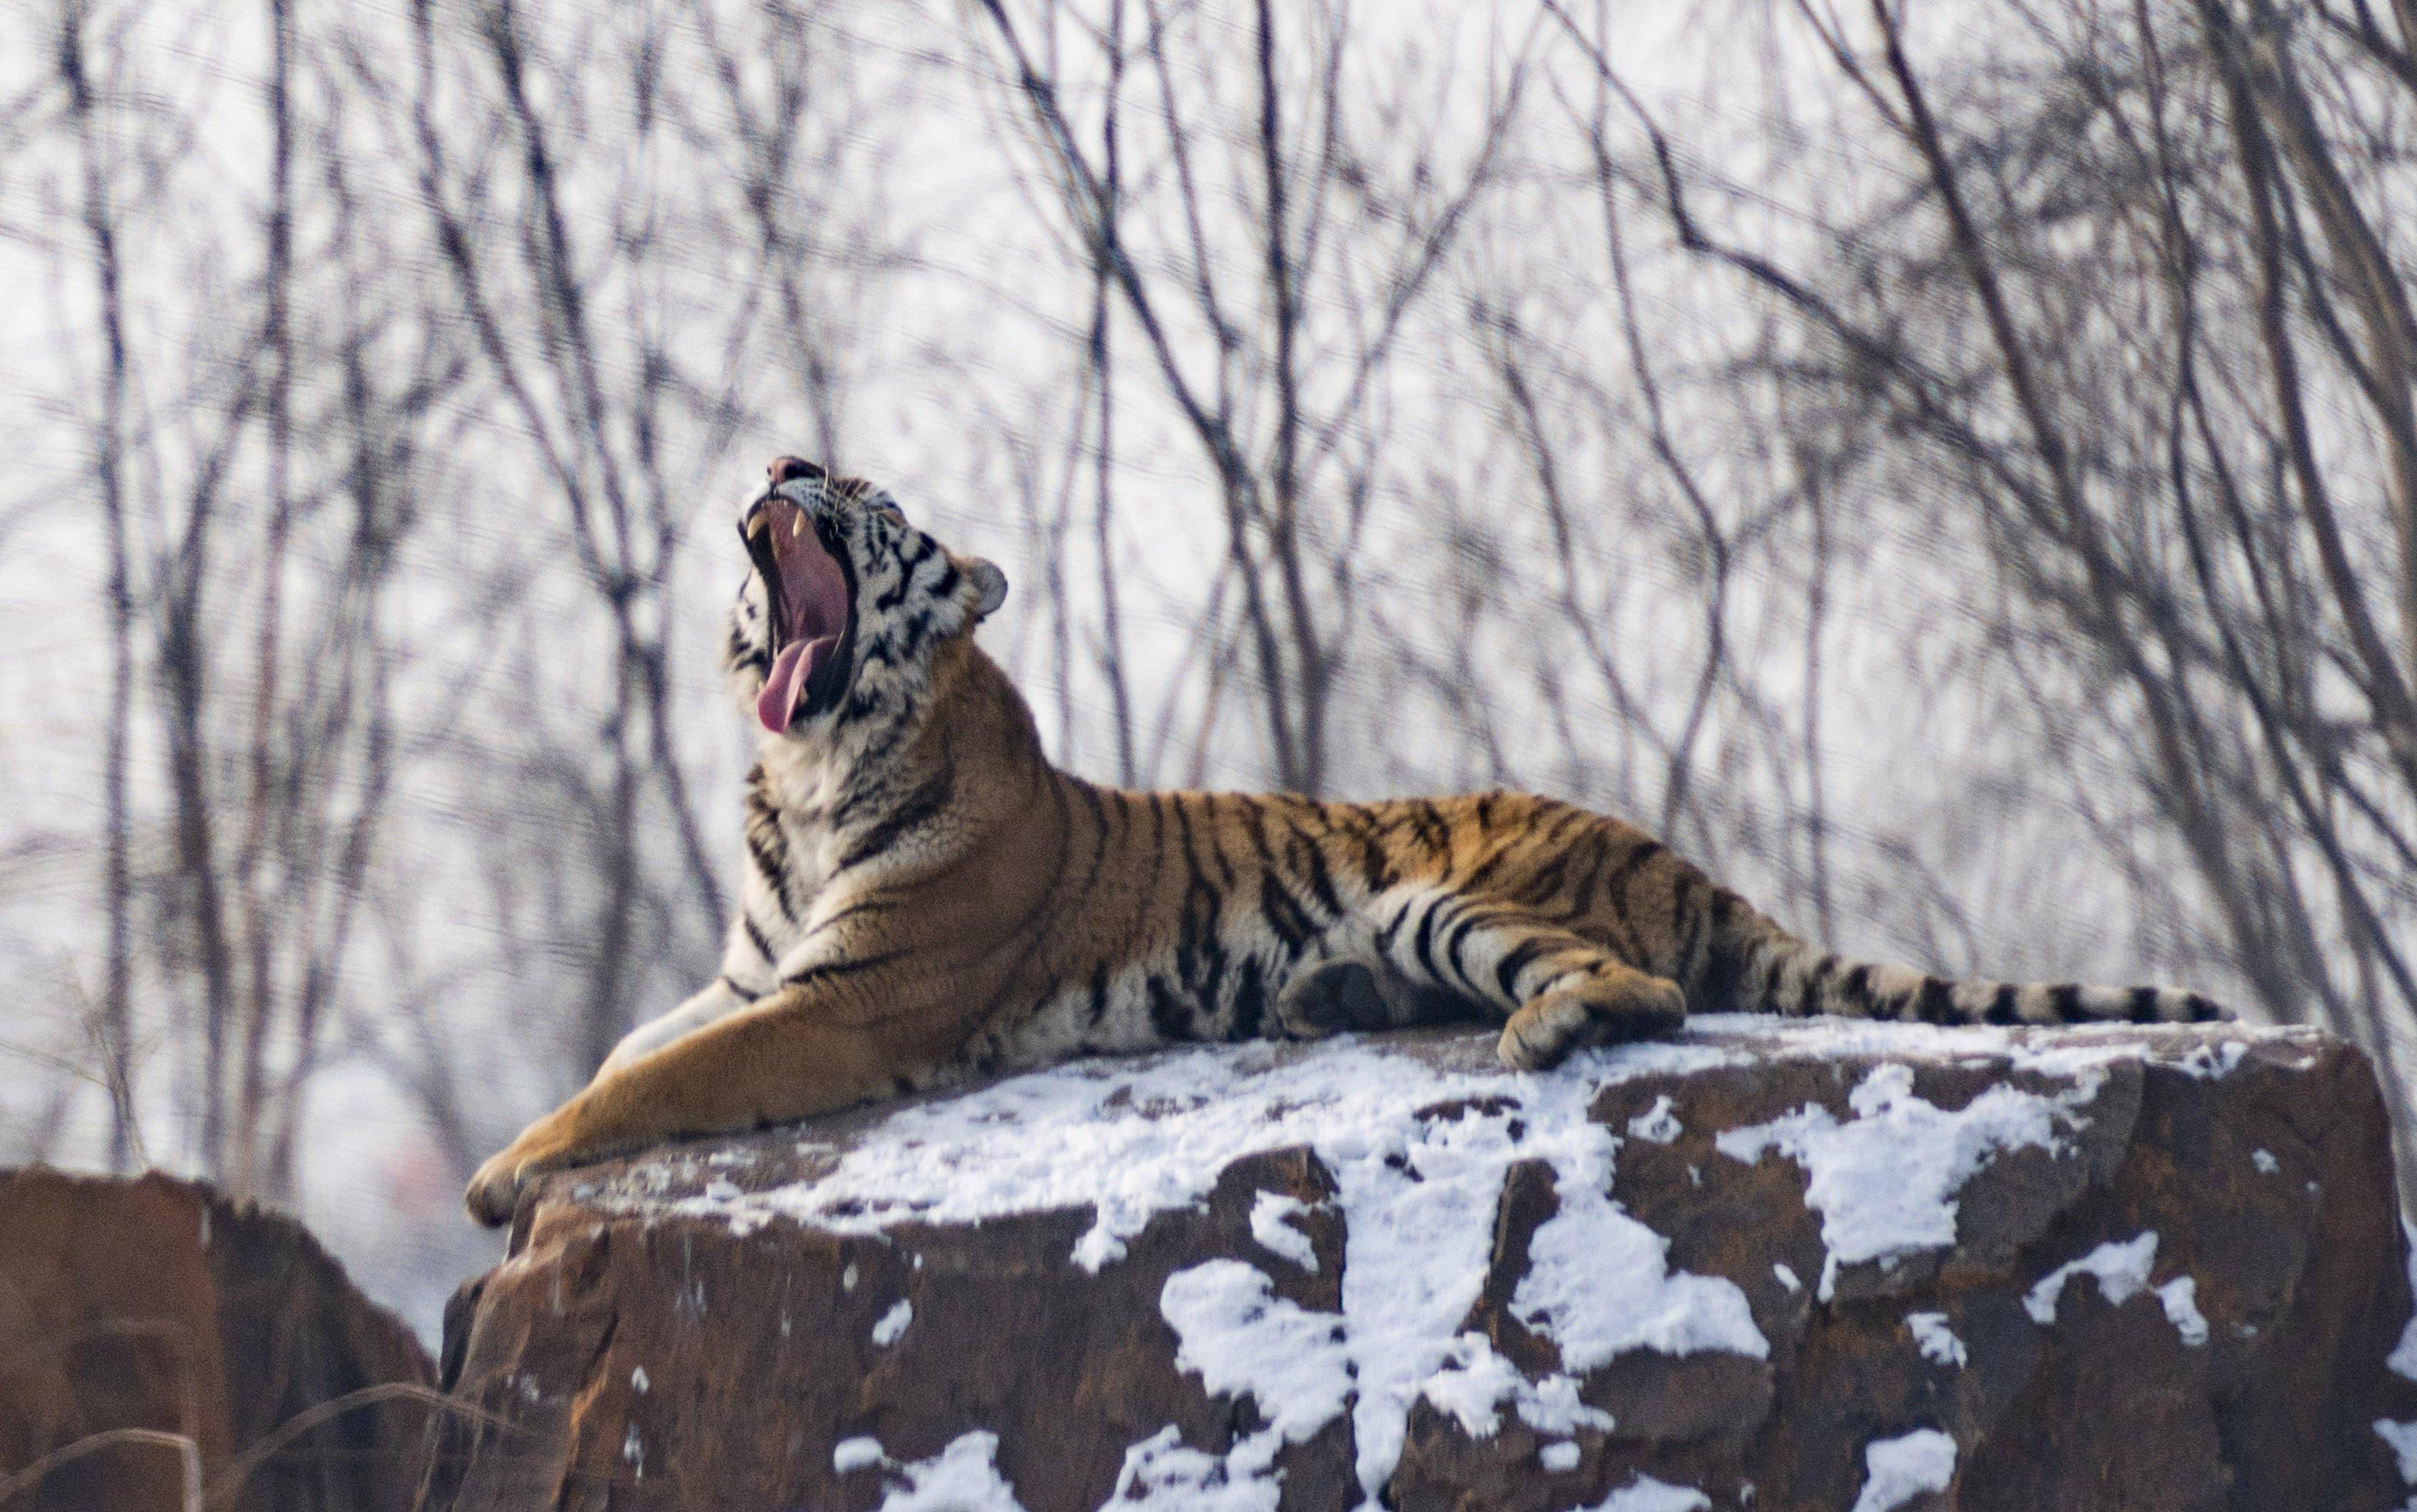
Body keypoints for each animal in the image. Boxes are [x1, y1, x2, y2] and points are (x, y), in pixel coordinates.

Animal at [456, 459, 2223, 1226]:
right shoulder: (754, 972)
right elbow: (631, 1045)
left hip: (1463, 897)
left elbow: (646, 1084)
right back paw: (1327, 1000)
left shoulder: (841, 1001)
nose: (786, 461)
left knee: (1638, 987)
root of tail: (1682, 855)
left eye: (870, 499)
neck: (814, 758)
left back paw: (1537, 1025)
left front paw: (500, 1174)